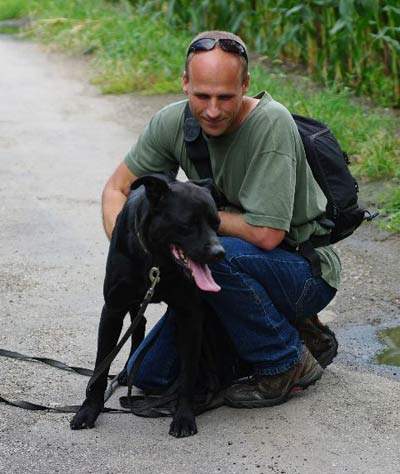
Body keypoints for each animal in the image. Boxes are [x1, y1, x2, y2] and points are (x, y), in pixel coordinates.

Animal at [70, 174, 225, 437]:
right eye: (188, 224)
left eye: (217, 223)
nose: (219, 252)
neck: (157, 263)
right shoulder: (112, 310)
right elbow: (101, 366)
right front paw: (89, 410)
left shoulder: (190, 314)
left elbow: (188, 373)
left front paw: (184, 416)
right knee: (138, 322)